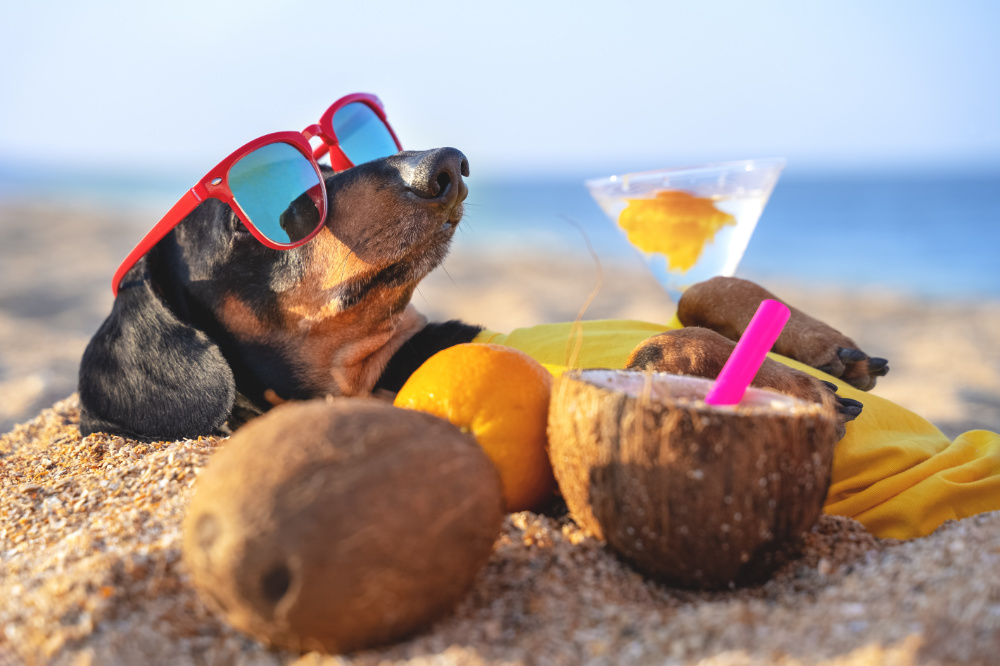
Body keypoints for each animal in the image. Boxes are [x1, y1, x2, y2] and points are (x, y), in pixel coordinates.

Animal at [80, 150, 892, 440]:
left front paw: (825, 355)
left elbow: (704, 290)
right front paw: (795, 389)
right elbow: (665, 350)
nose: (446, 165)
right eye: (288, 207)